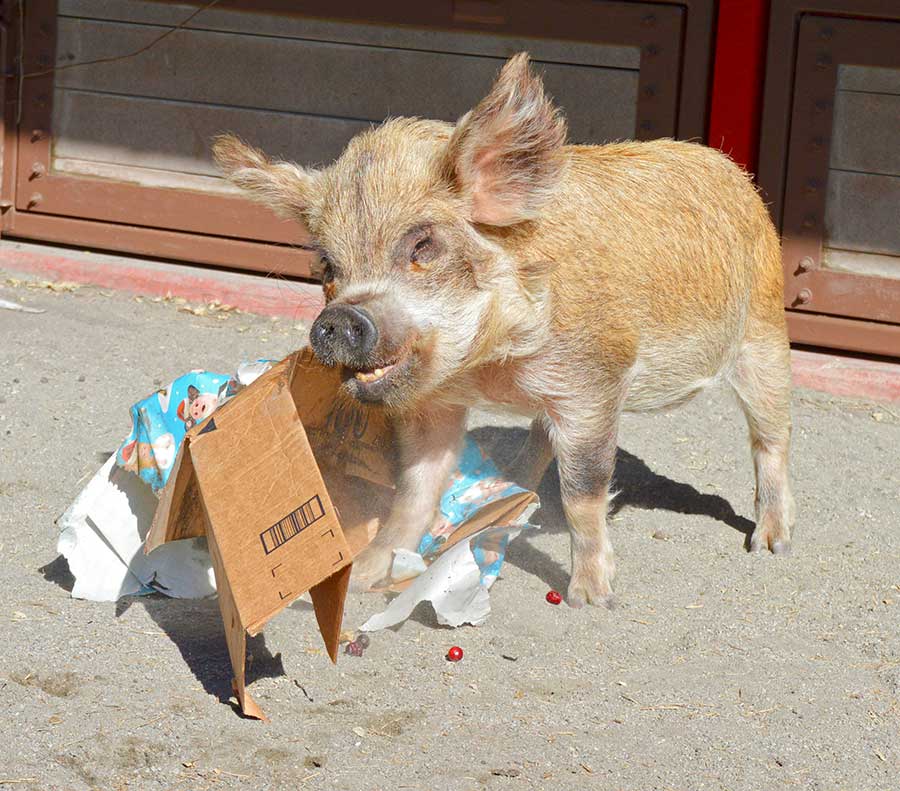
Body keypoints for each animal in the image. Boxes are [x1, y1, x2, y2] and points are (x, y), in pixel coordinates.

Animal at [214, 52, 800, 608]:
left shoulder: (591, 384)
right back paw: (507, 488)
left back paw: (771, 544)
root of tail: (731, 171)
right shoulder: (436, 404)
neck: (489, 370)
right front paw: (364, 577)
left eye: (423, 245)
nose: (338, 319)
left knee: (771, 437)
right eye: (328, 267)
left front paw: (590, 598)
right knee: (540, 437)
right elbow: (415, 486)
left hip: (765, 331)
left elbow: (584, 490)